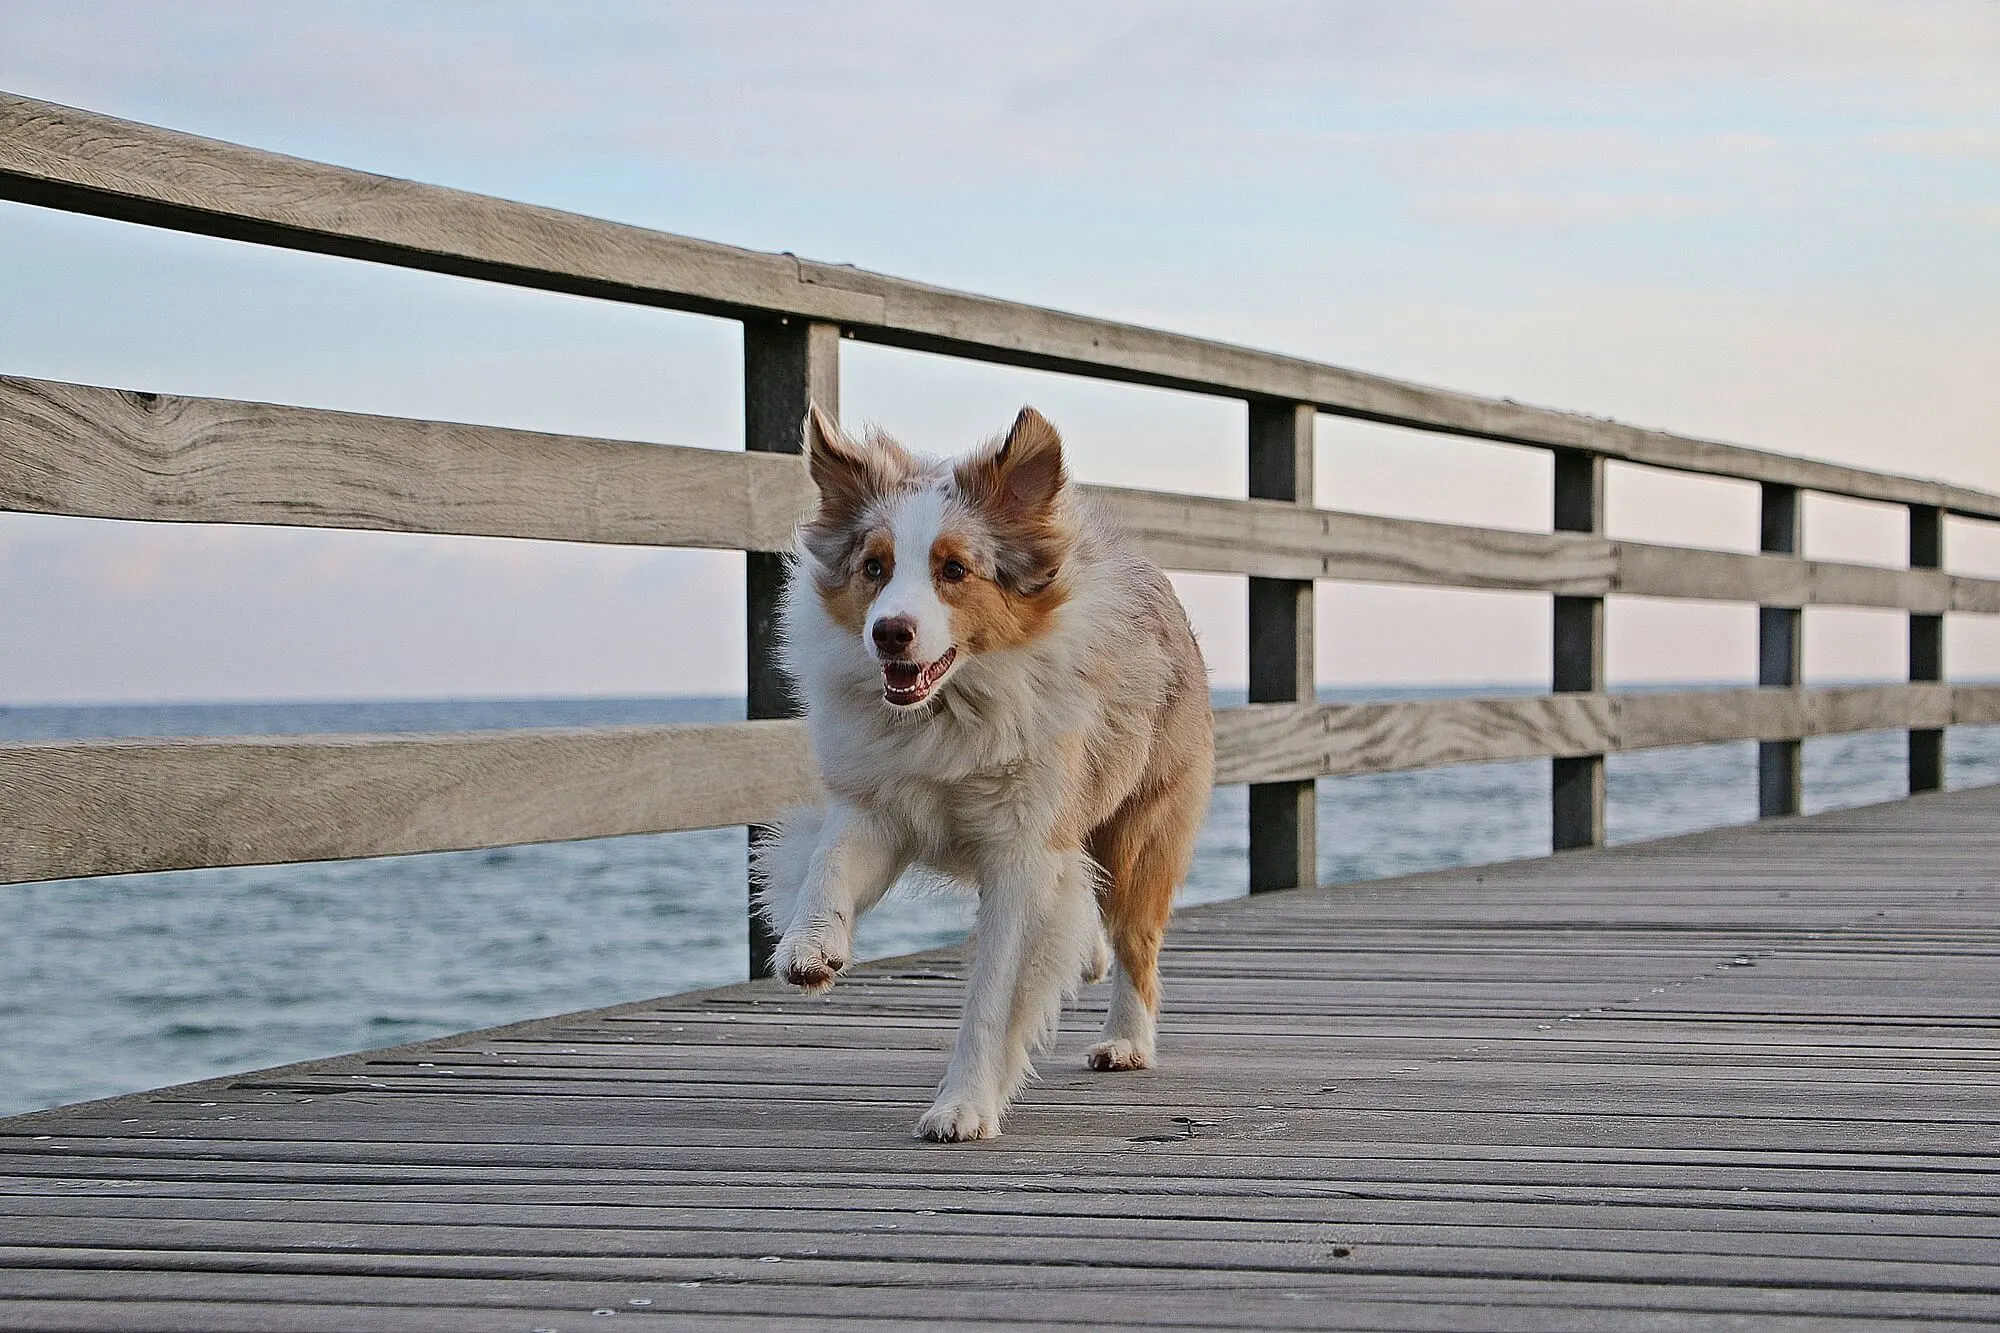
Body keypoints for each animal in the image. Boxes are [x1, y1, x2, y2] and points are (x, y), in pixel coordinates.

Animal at [756, 400, 1208, 1136]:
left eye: (954, 570)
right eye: (874, 566)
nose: (890, 632)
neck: (948, 708)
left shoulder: (1024, 848)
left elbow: (994, 997)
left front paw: (963, 1104)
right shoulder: (882, 801)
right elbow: (829, 855)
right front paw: (810, 946)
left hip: (1141, 828)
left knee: (1137, 940)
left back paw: (1126, 1041)